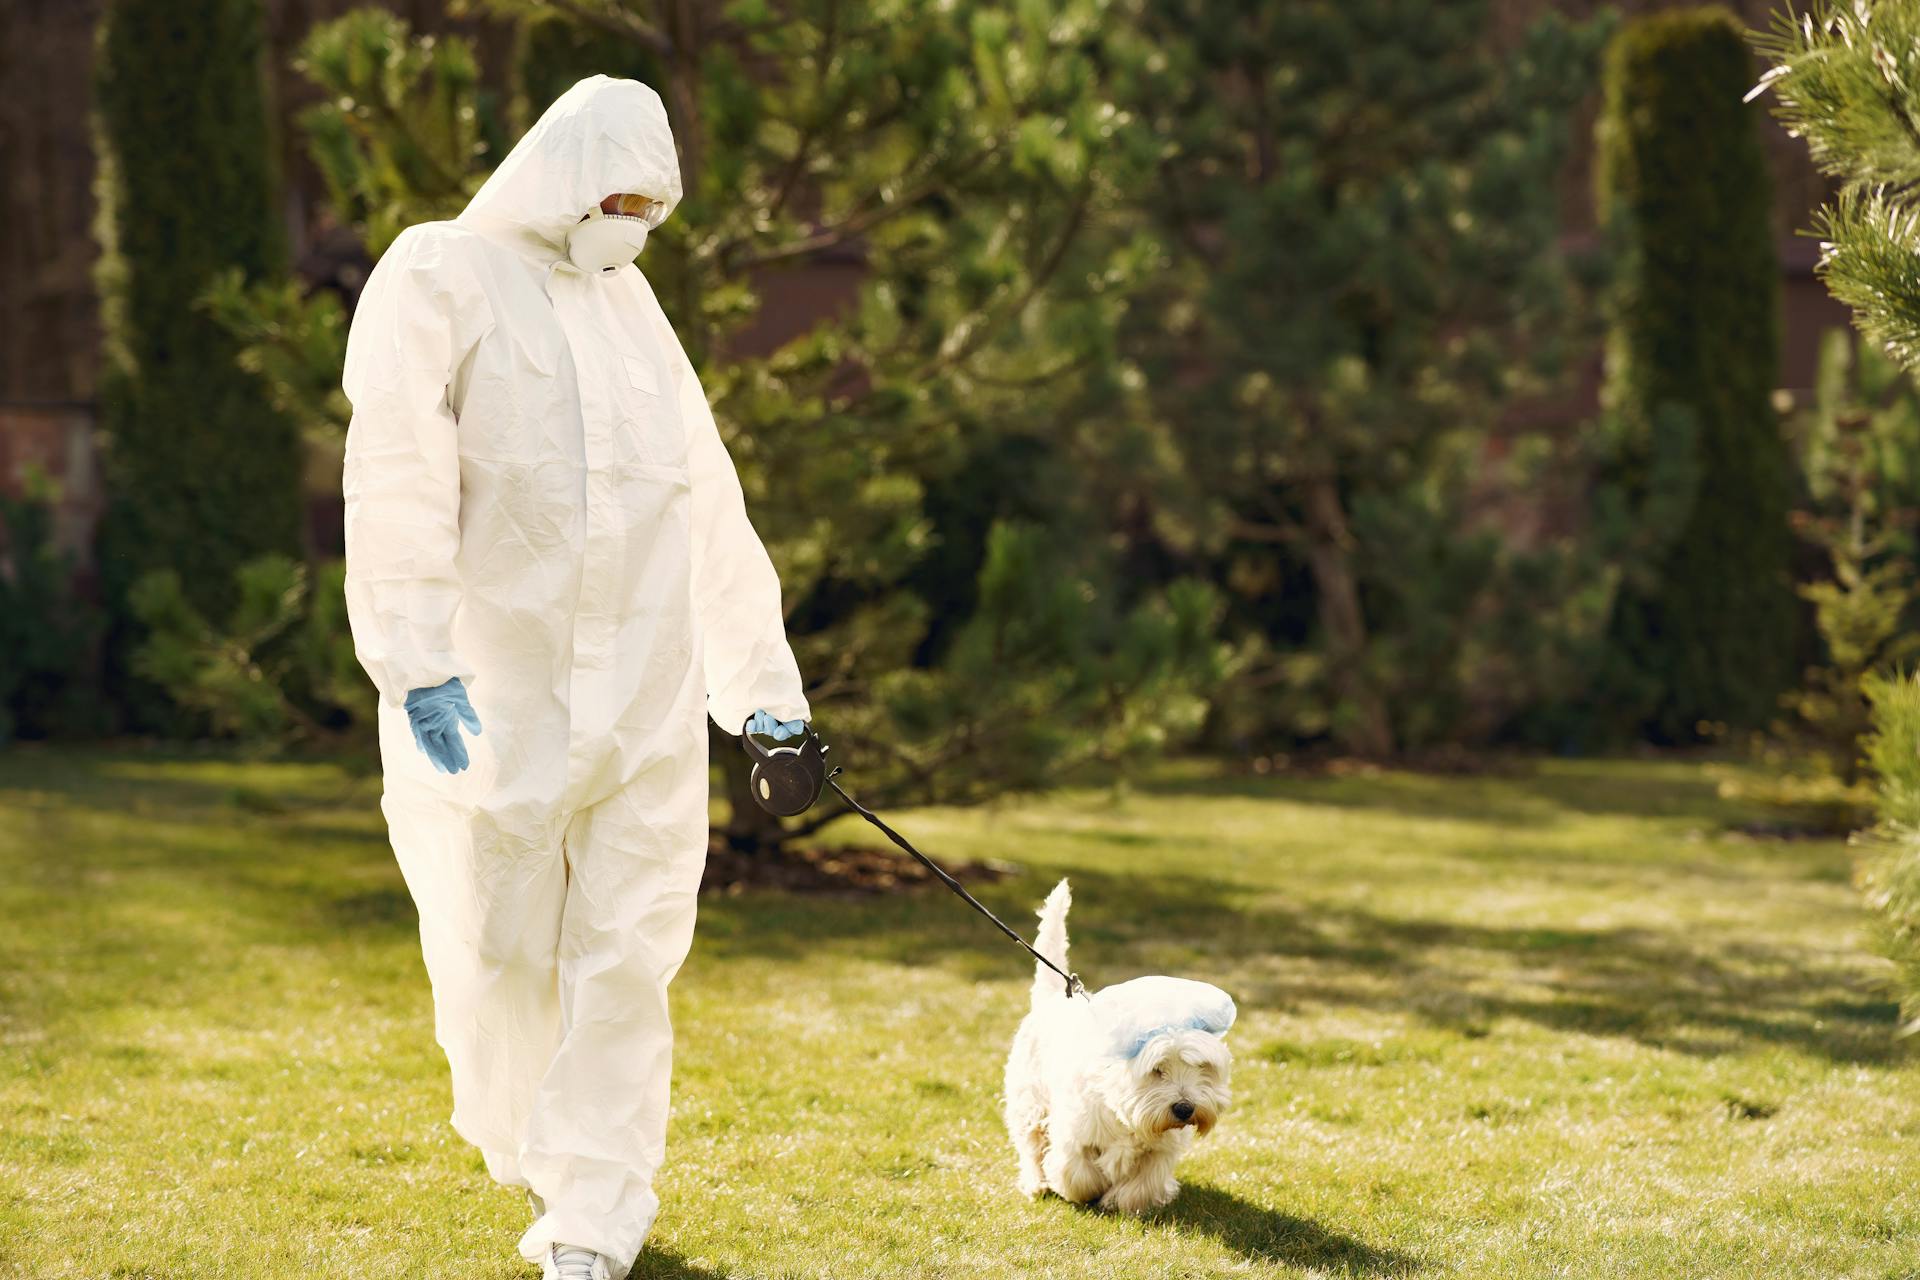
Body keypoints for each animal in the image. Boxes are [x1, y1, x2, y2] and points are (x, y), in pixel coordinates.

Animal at [1006, 882, 1228, 1212]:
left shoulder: (1160, 1151)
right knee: (1031, 1144)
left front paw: (1118, 1200)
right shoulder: (1074, 1134)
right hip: (1030, 1100)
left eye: (1201, 1067)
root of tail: (1052, 998)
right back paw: (1037, 1183)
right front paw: (1090, 1190)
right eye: (1157, 1070)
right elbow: (1077, 1173)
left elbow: (1142, 1184)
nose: (1185, 1108)